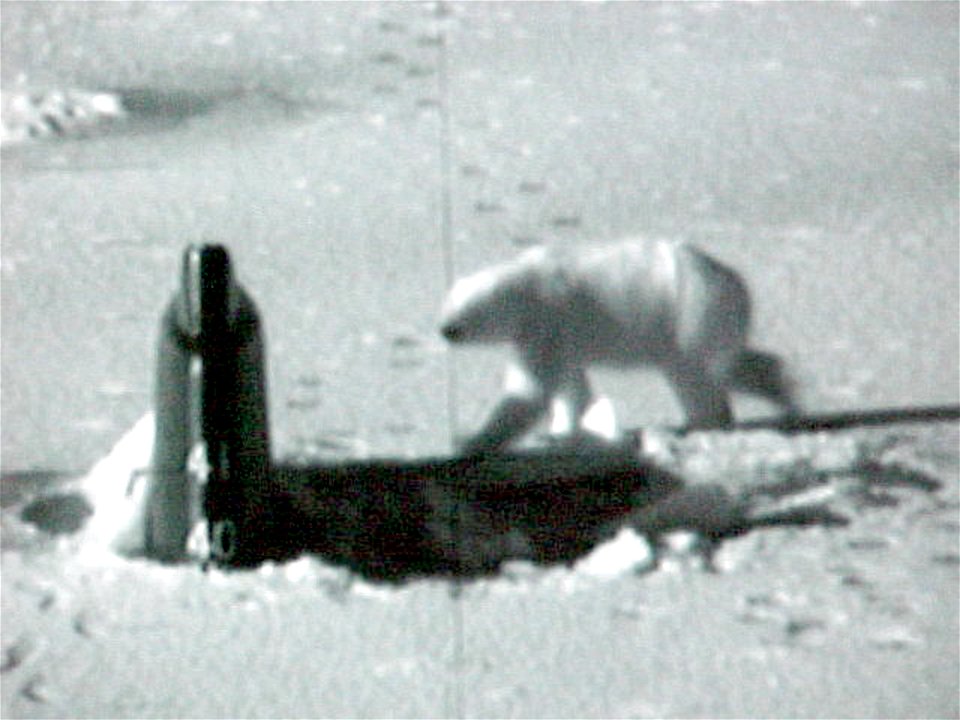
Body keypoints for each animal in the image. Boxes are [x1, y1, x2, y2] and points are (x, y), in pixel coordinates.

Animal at [440, 240, 796, 456]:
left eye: (466, 311)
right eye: (445, 304)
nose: (445, 330)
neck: (526, 287)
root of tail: (737, 285)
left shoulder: (547, 320)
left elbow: (530, 390)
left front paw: (472, 441)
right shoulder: (562, 335)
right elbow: (571, 386)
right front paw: (562, 433)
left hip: (688, 315)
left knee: (693, 375)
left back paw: (698, 423)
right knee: (736, 366)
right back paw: (783, 393)